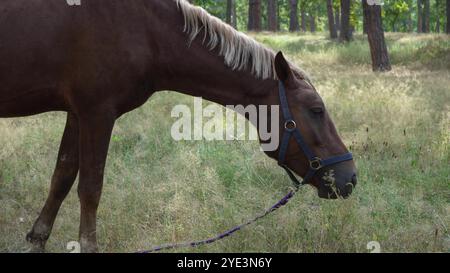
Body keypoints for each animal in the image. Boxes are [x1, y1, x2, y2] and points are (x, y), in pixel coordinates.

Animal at [1, 0, 356, 252]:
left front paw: (37, 238)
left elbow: (61, 177)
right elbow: (90, 188)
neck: (145, 29)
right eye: (316, 110)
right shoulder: (96, 113)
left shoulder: (77, 114)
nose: (350, 177)